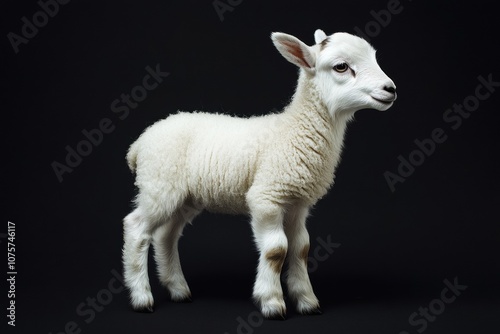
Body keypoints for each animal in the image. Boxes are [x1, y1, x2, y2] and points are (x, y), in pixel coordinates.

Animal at [121, 28, 394, 318]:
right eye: (341, 66)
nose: (391, 89)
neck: (293, 130)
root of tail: (139, 144)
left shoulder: (298, 203)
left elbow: (301, 248)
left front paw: (306, 300)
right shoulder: (266, 197)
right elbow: (276, 250)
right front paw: (272, 301)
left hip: (185, 198)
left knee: (166, 236)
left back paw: (178, 289)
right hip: (159, 185)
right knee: (136, 228)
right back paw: (142, 297)